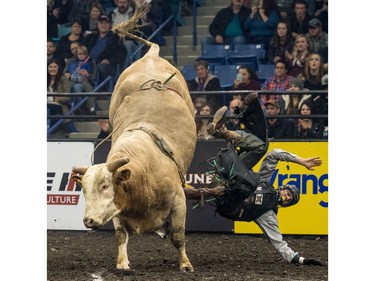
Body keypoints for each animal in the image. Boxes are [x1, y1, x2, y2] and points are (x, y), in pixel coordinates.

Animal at [72, 4, 198, 272]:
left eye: (105, 185)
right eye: (84, 189)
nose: (89, 220)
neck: (143, 176)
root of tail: (152, 54)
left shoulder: (179, 201)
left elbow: (178, 235)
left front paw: (185, 264)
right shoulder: (118, 211)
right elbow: (121, 236)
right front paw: (122, 263)